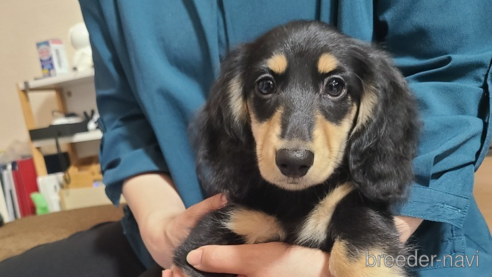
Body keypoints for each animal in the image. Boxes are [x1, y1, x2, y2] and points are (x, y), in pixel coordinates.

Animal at [173, 20, 418, 276]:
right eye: (265, 85)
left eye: (335, 86)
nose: (293, 161)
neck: (296, 199)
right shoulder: (221, 229)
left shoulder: (358, 208)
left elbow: (360, 247)